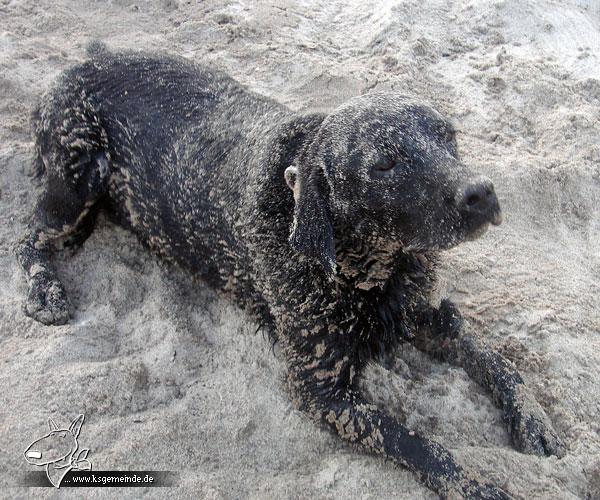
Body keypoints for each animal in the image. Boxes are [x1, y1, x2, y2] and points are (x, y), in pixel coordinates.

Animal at [16, 45, 564, 498]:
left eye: (449, 135)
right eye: (384, 164)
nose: (481, 192)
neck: (363, 270)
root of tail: (81, 61)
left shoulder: (421, 313)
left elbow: (494, 359)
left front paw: (533, 419)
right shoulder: (319, 390)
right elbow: (418, 443)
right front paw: (475, 483)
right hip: (76, 177)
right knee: (28, 236)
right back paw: (45, 291)